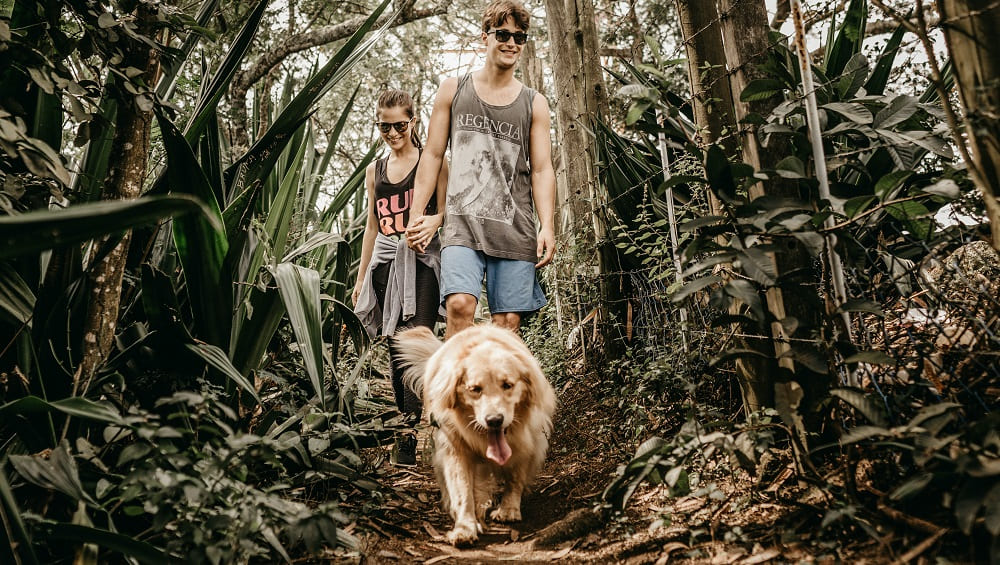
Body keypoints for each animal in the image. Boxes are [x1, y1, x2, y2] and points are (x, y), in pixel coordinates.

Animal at [394, 324, 560, 544]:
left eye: (507, 385)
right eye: (475, 389)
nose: (494, 420)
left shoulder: (528, 441)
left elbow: (515, 477)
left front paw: (508, 509)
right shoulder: (455, 447)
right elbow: (462, 490)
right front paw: (465, 527)